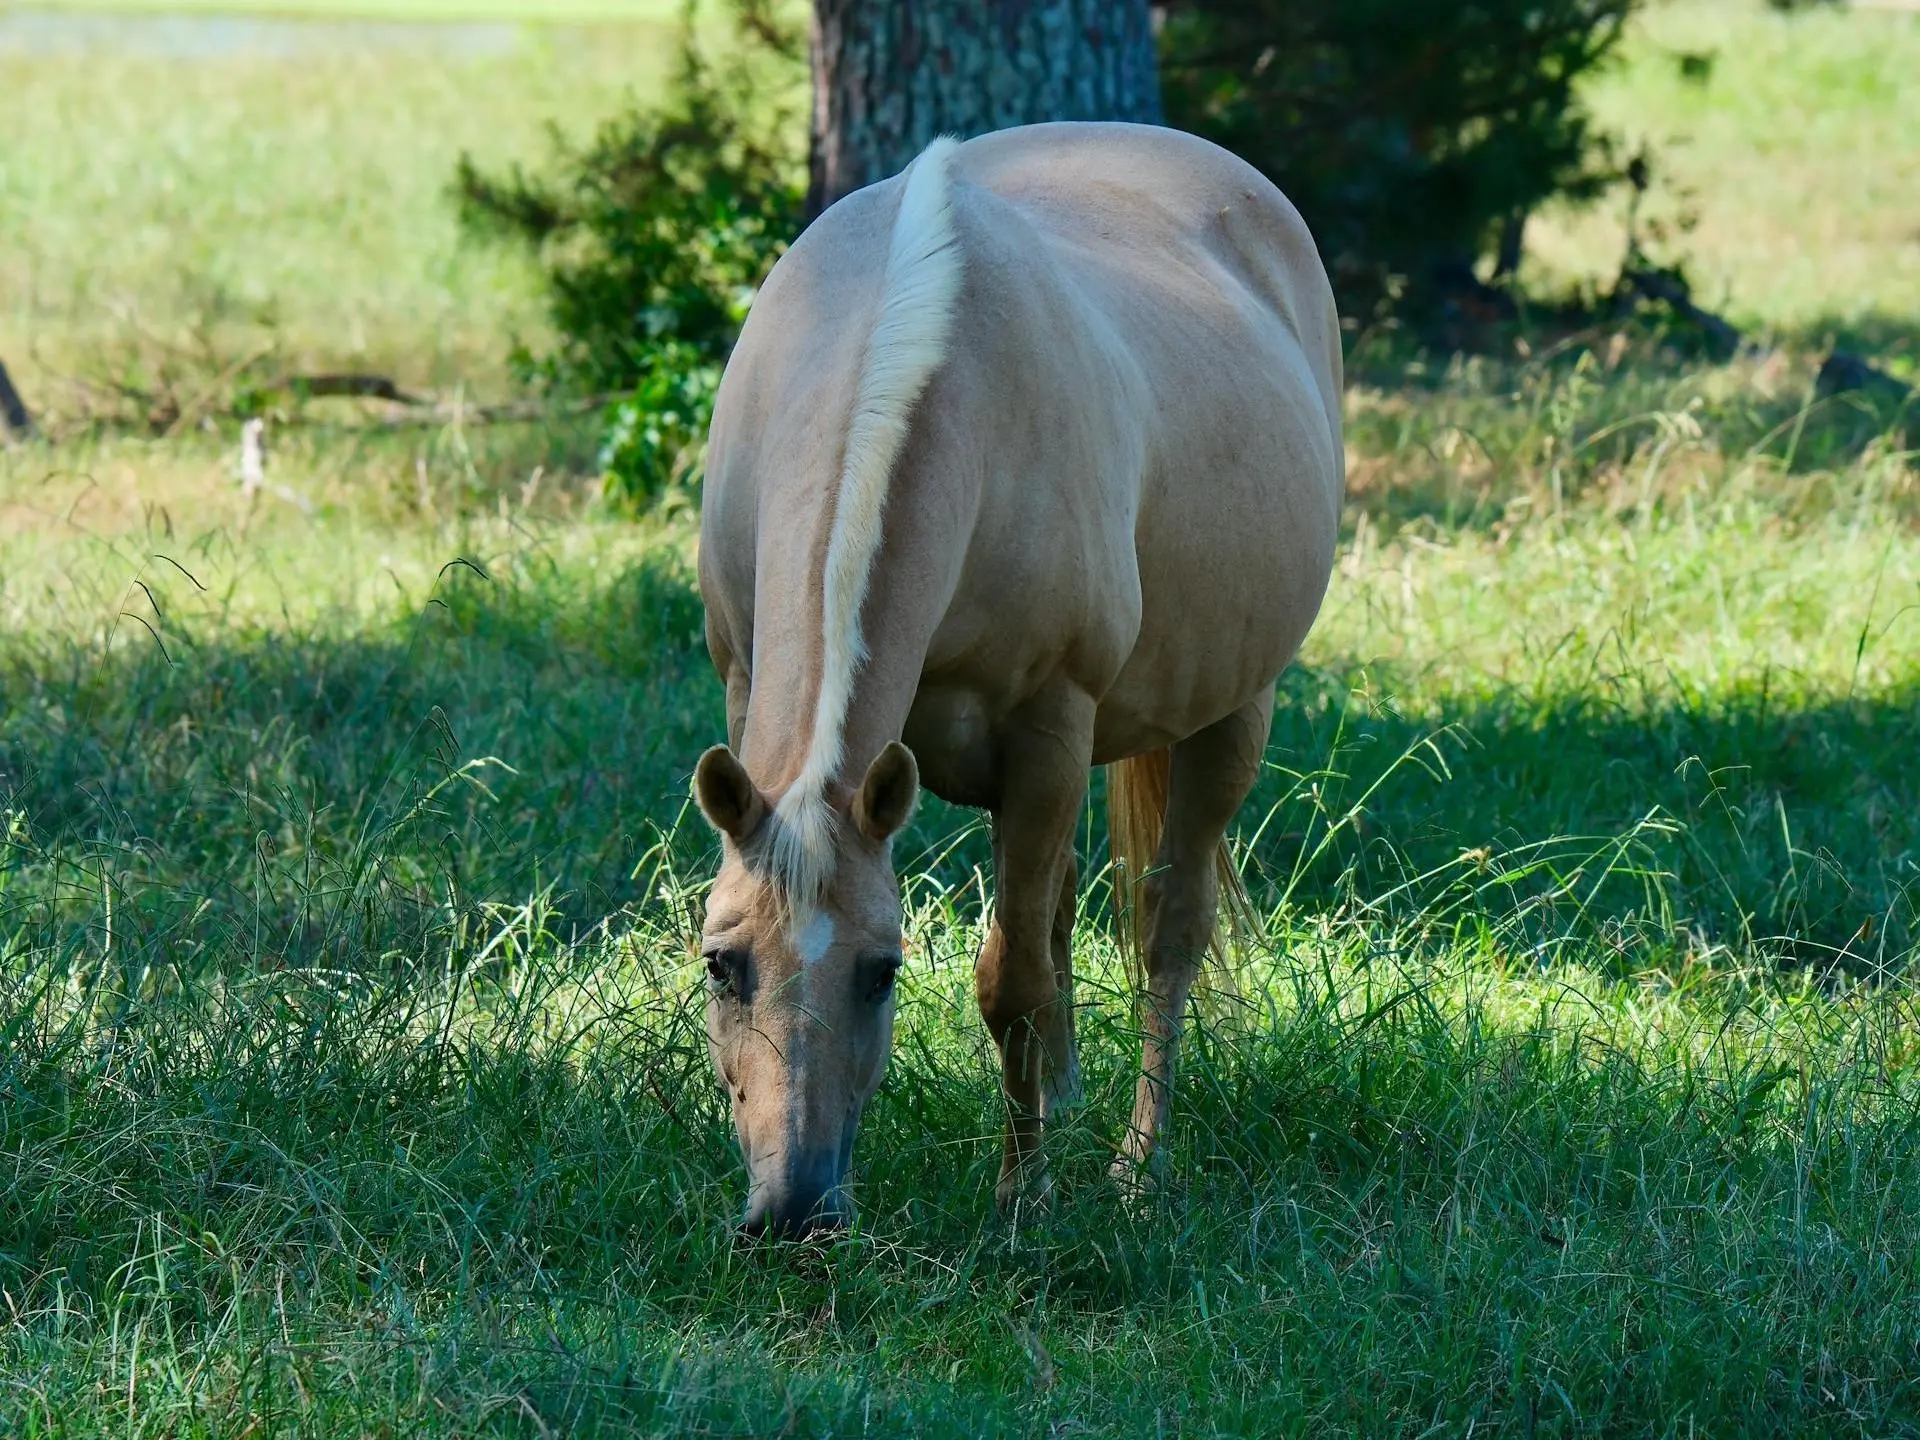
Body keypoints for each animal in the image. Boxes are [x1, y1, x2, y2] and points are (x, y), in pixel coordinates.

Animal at [698, 121, 1344, 1244]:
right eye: (720, 964)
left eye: (883, 970)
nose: (795, 1208)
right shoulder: (746, 687)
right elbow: (1036, 955)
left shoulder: (1048, 734)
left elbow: (1011, 981)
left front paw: (1022, 1200)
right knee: (1067, 906)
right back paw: (1073, 1101)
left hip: (1229, 717)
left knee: (1167, 931)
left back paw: (1136, 1165)